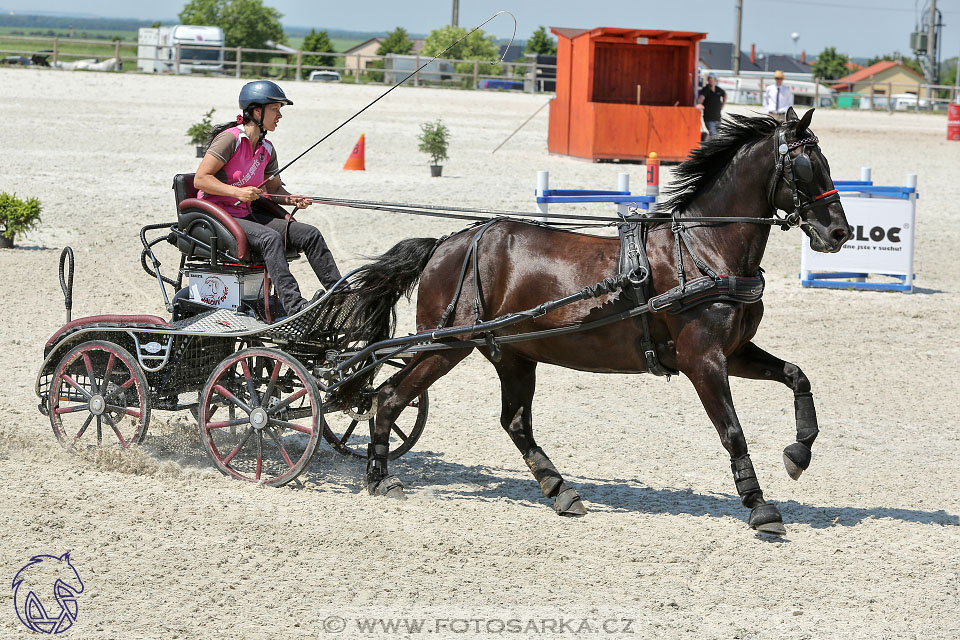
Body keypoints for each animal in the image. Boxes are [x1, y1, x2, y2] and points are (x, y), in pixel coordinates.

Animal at [344, 109, 848, 536]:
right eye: (807, 165)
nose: (839, 232)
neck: (702, 250)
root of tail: (447, 242)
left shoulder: (735, 352)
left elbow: (797, 376)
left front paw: (798, 454)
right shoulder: (702, 359)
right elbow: (733, 430)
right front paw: (760, 506)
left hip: (511, 354)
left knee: (514, 422)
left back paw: (561, 491)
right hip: (448, 344)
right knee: (388, 397)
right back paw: (380, 478)